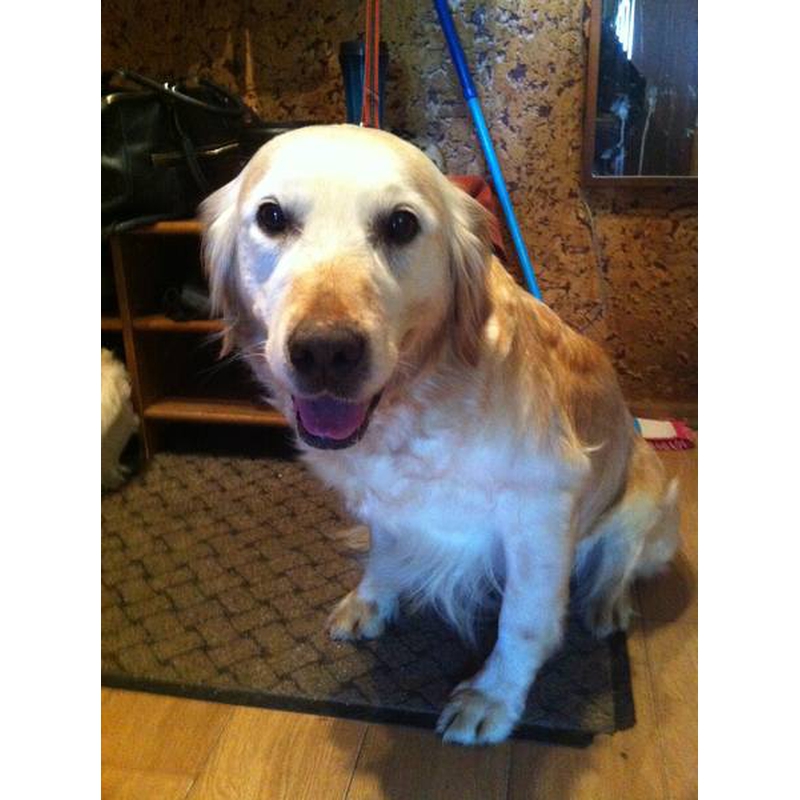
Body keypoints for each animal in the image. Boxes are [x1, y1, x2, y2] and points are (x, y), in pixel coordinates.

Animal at [200, 125, 679, 744]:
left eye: (401, 224)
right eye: (272, 217)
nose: (325, 351)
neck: (422, 399)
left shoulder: (542, 508)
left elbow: (524, 621)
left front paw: (491, 696)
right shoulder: (385, 501)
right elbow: (383, 551)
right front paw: (371, 601)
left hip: (647, 493)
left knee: (622, 558)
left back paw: (606, 605)